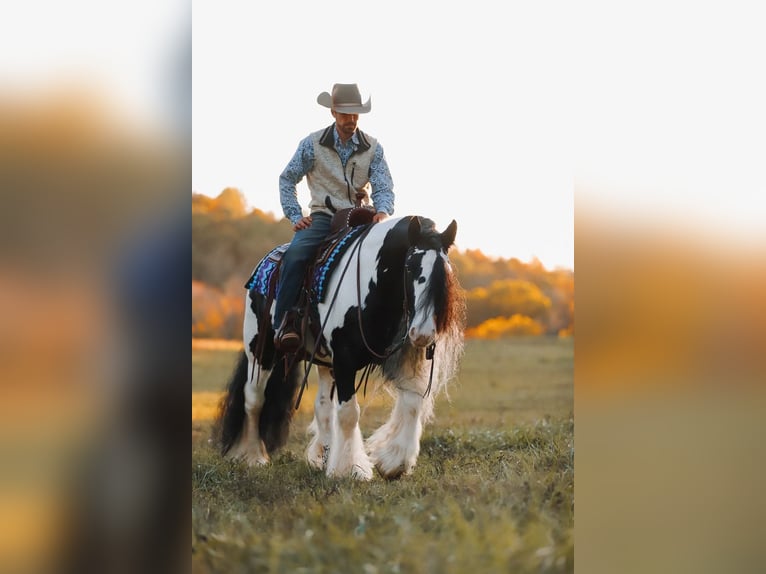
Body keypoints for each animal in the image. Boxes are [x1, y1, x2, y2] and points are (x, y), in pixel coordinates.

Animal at [214, 216, 468, 482]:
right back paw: (254, 456)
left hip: (324, 362)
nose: (423, 333)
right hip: (260, 351)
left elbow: (412, 405)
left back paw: (322, 456)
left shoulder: (401, 360)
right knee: (254, 399)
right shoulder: (345, 360)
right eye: (410, 267)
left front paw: (394, 462)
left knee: (322, 406)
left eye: (445, 272)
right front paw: (350, 469)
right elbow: (348, 413)